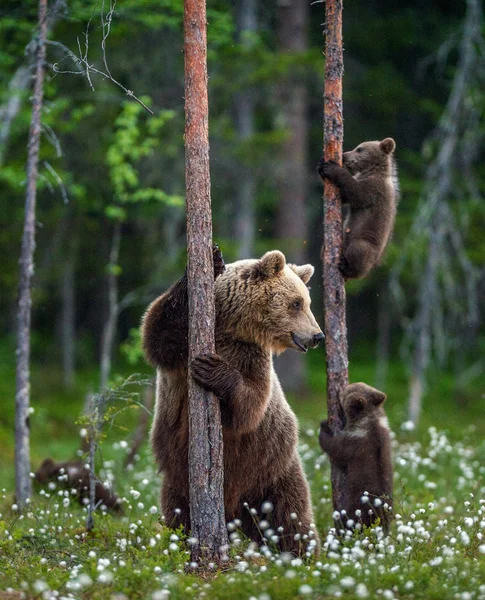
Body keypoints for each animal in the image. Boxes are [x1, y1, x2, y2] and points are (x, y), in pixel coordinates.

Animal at [142, 246, 324, 556]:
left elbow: (250, 404)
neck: (230, 327)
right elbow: (159, 330)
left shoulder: (251, 356)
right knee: (179, 512)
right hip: (179, 477)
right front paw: (212, 260)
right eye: (297, 303)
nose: (317, 336)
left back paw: (303, 553)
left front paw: (212, 369)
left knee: (291, 515)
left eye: (306, 302)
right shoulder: (182, 348)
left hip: (272, 469)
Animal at [318, 137, 398, 280]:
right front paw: (322, 163)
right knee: (325, 247)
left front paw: (332, 167)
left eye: (359, 149)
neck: (373, 170)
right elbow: (344, 195)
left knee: (359, 251)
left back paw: (346, 267)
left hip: (367, 241)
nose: (344, 155)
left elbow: (355, 192)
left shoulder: (374, 189)